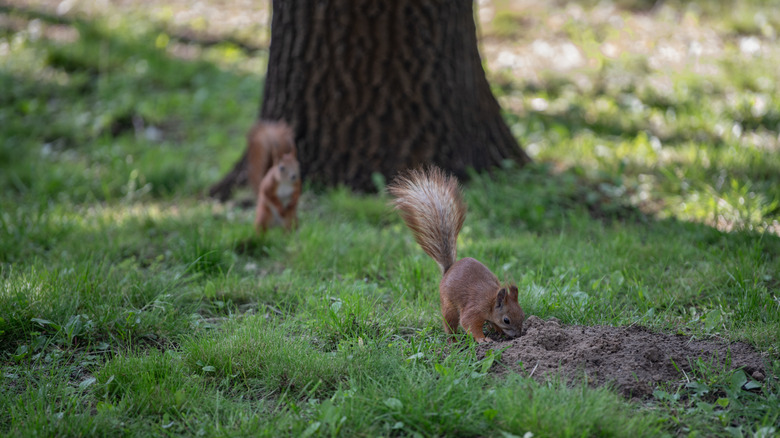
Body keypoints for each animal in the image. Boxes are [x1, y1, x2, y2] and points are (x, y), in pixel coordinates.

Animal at [389, 166, 525, 343]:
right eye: (506, 320)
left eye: (522, 315)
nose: (519, 334)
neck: (491, 300)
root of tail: (449, 269)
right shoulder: (475, 308)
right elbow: (468, 323)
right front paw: (483, 339)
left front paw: (498, 332)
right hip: (449, 305)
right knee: (450, 322)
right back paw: (453, 340)